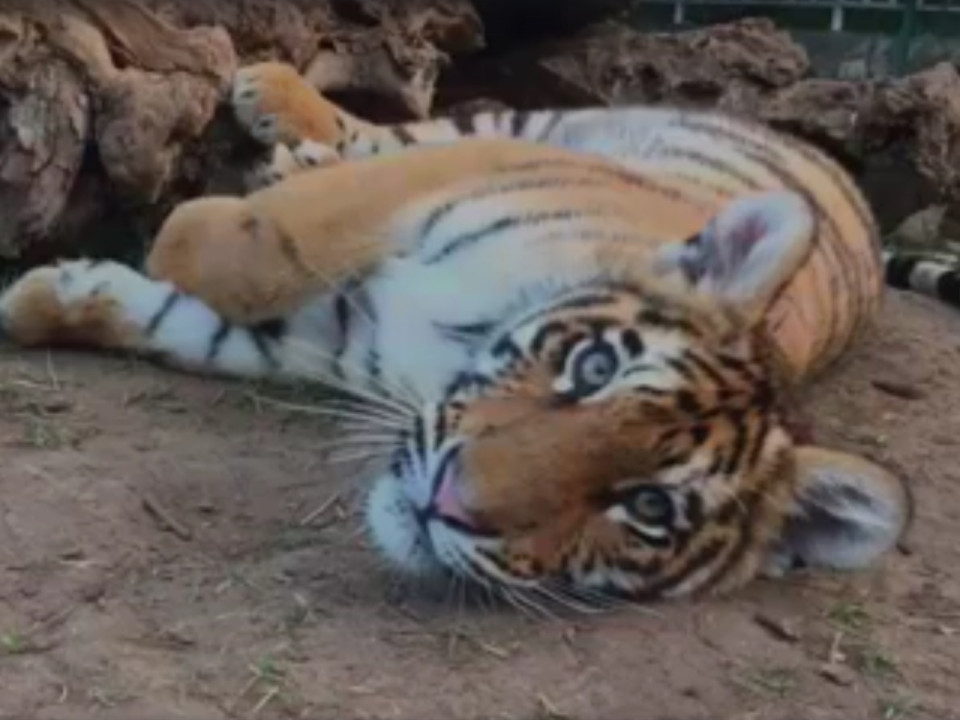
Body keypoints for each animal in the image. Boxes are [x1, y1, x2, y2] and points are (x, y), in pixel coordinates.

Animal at [0, 61, 912, 606]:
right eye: (595, 365)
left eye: (648, 507)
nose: (448, 504)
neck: (442, 354)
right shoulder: (429, 187)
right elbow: (239, 245)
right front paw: (151, 239)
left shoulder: (326, 335)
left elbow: (195, 319)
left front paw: (46, 297)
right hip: (513, 129)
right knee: (390, 130)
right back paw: (276, 104)